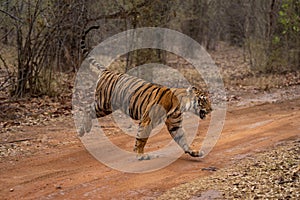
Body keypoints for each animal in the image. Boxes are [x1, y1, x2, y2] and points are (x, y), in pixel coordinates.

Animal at [78, 25, 212, 160]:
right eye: (203, 100)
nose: (211, 109)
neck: (181, 106)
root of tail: (107, 71)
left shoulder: (175, 125)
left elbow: (183, 140)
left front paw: (194, 152)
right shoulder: (147, 120)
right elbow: (141, 139)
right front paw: (140, 155)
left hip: (108, 106)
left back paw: (83, 130)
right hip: (104, 104)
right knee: (87, 108)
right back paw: (83, 130)